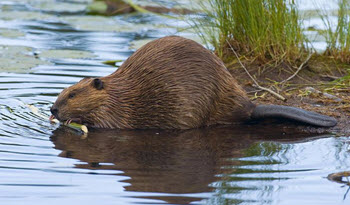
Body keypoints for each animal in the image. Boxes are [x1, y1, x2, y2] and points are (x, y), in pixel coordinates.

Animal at [50, 35, 338, 128]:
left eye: (72, 94)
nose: (52, 108)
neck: (117, 92)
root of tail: (251, 107)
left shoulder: (118, 110)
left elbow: (106, 124)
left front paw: (70, 120)